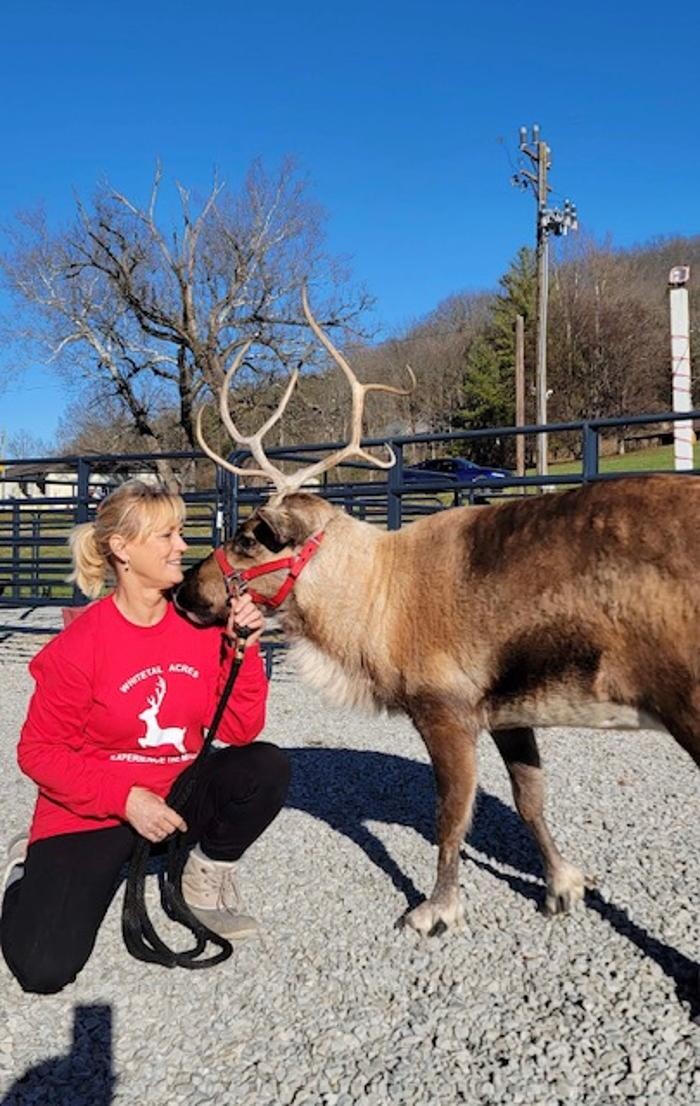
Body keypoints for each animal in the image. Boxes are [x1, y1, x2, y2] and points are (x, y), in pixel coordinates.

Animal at [173, 287, 700, 938]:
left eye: (250, 537)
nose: (184, 592)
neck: (377, 598)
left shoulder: (443, 709)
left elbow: (451, 816)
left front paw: (437, 907)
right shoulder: (506, 713)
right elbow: (531, 799)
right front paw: (563, 883)